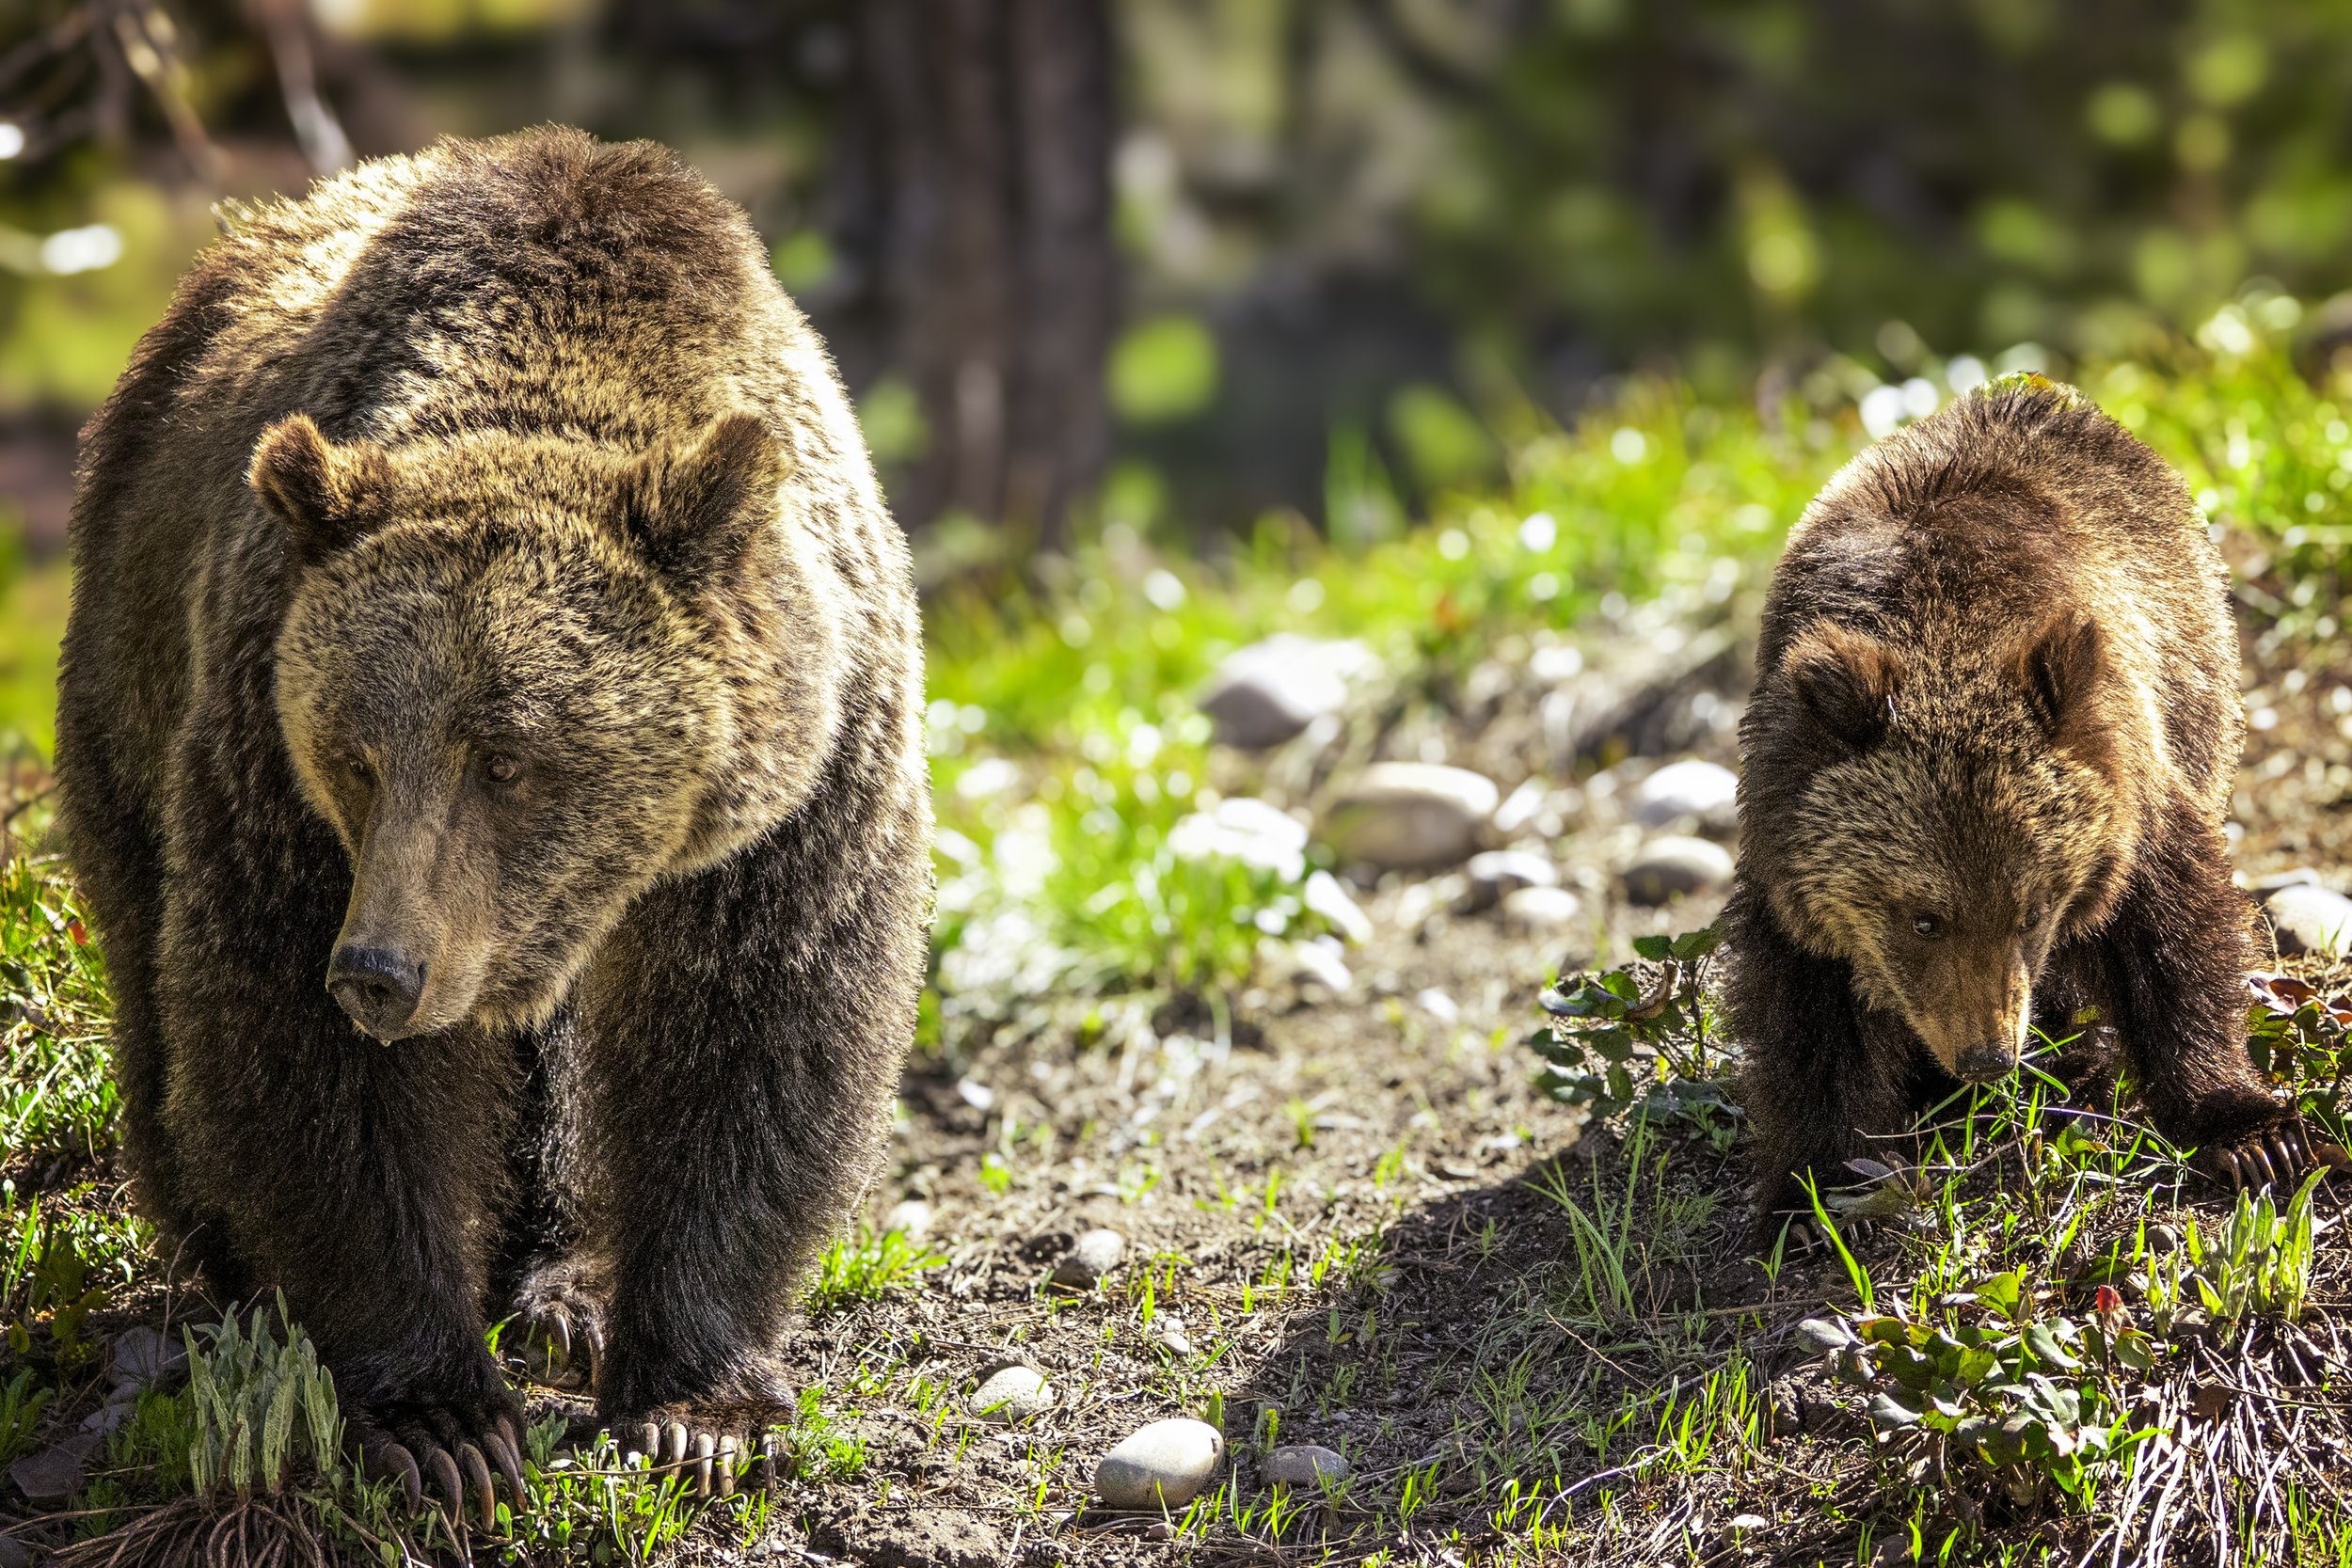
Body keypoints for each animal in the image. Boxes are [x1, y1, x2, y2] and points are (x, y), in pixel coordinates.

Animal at [53, 127, 931, 1520]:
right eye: (356, 756)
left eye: (510, 757)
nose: (380, 969)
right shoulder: (271, 755)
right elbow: (315, 1068)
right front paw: (440, 1418)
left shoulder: (800, 793)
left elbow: (757, 1037)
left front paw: (696, 1406)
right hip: (130, 680)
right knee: (157, 976)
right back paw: (238, 1261)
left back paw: (569, 1286)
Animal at [1725, 375, 2311, 1235]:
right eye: (1924, 918)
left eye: (2034, 910)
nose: (1986, 1055)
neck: (1943, 625)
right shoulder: (1792, 850)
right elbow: (1807, 1018)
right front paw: (1821, 1192)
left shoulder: (2127, 785)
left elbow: (2175, 941)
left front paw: (2252, 1133)